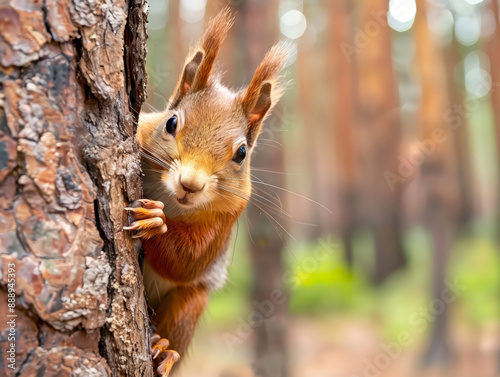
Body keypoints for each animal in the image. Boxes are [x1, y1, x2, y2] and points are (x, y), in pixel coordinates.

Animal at [124, 6, 290, 376]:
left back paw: (164, 351)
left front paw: (156, 223)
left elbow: (189, 262)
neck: (173, 202)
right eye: (171, 122)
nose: (191, 184)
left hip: (191, 303)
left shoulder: (228, 215)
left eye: (241, 153)